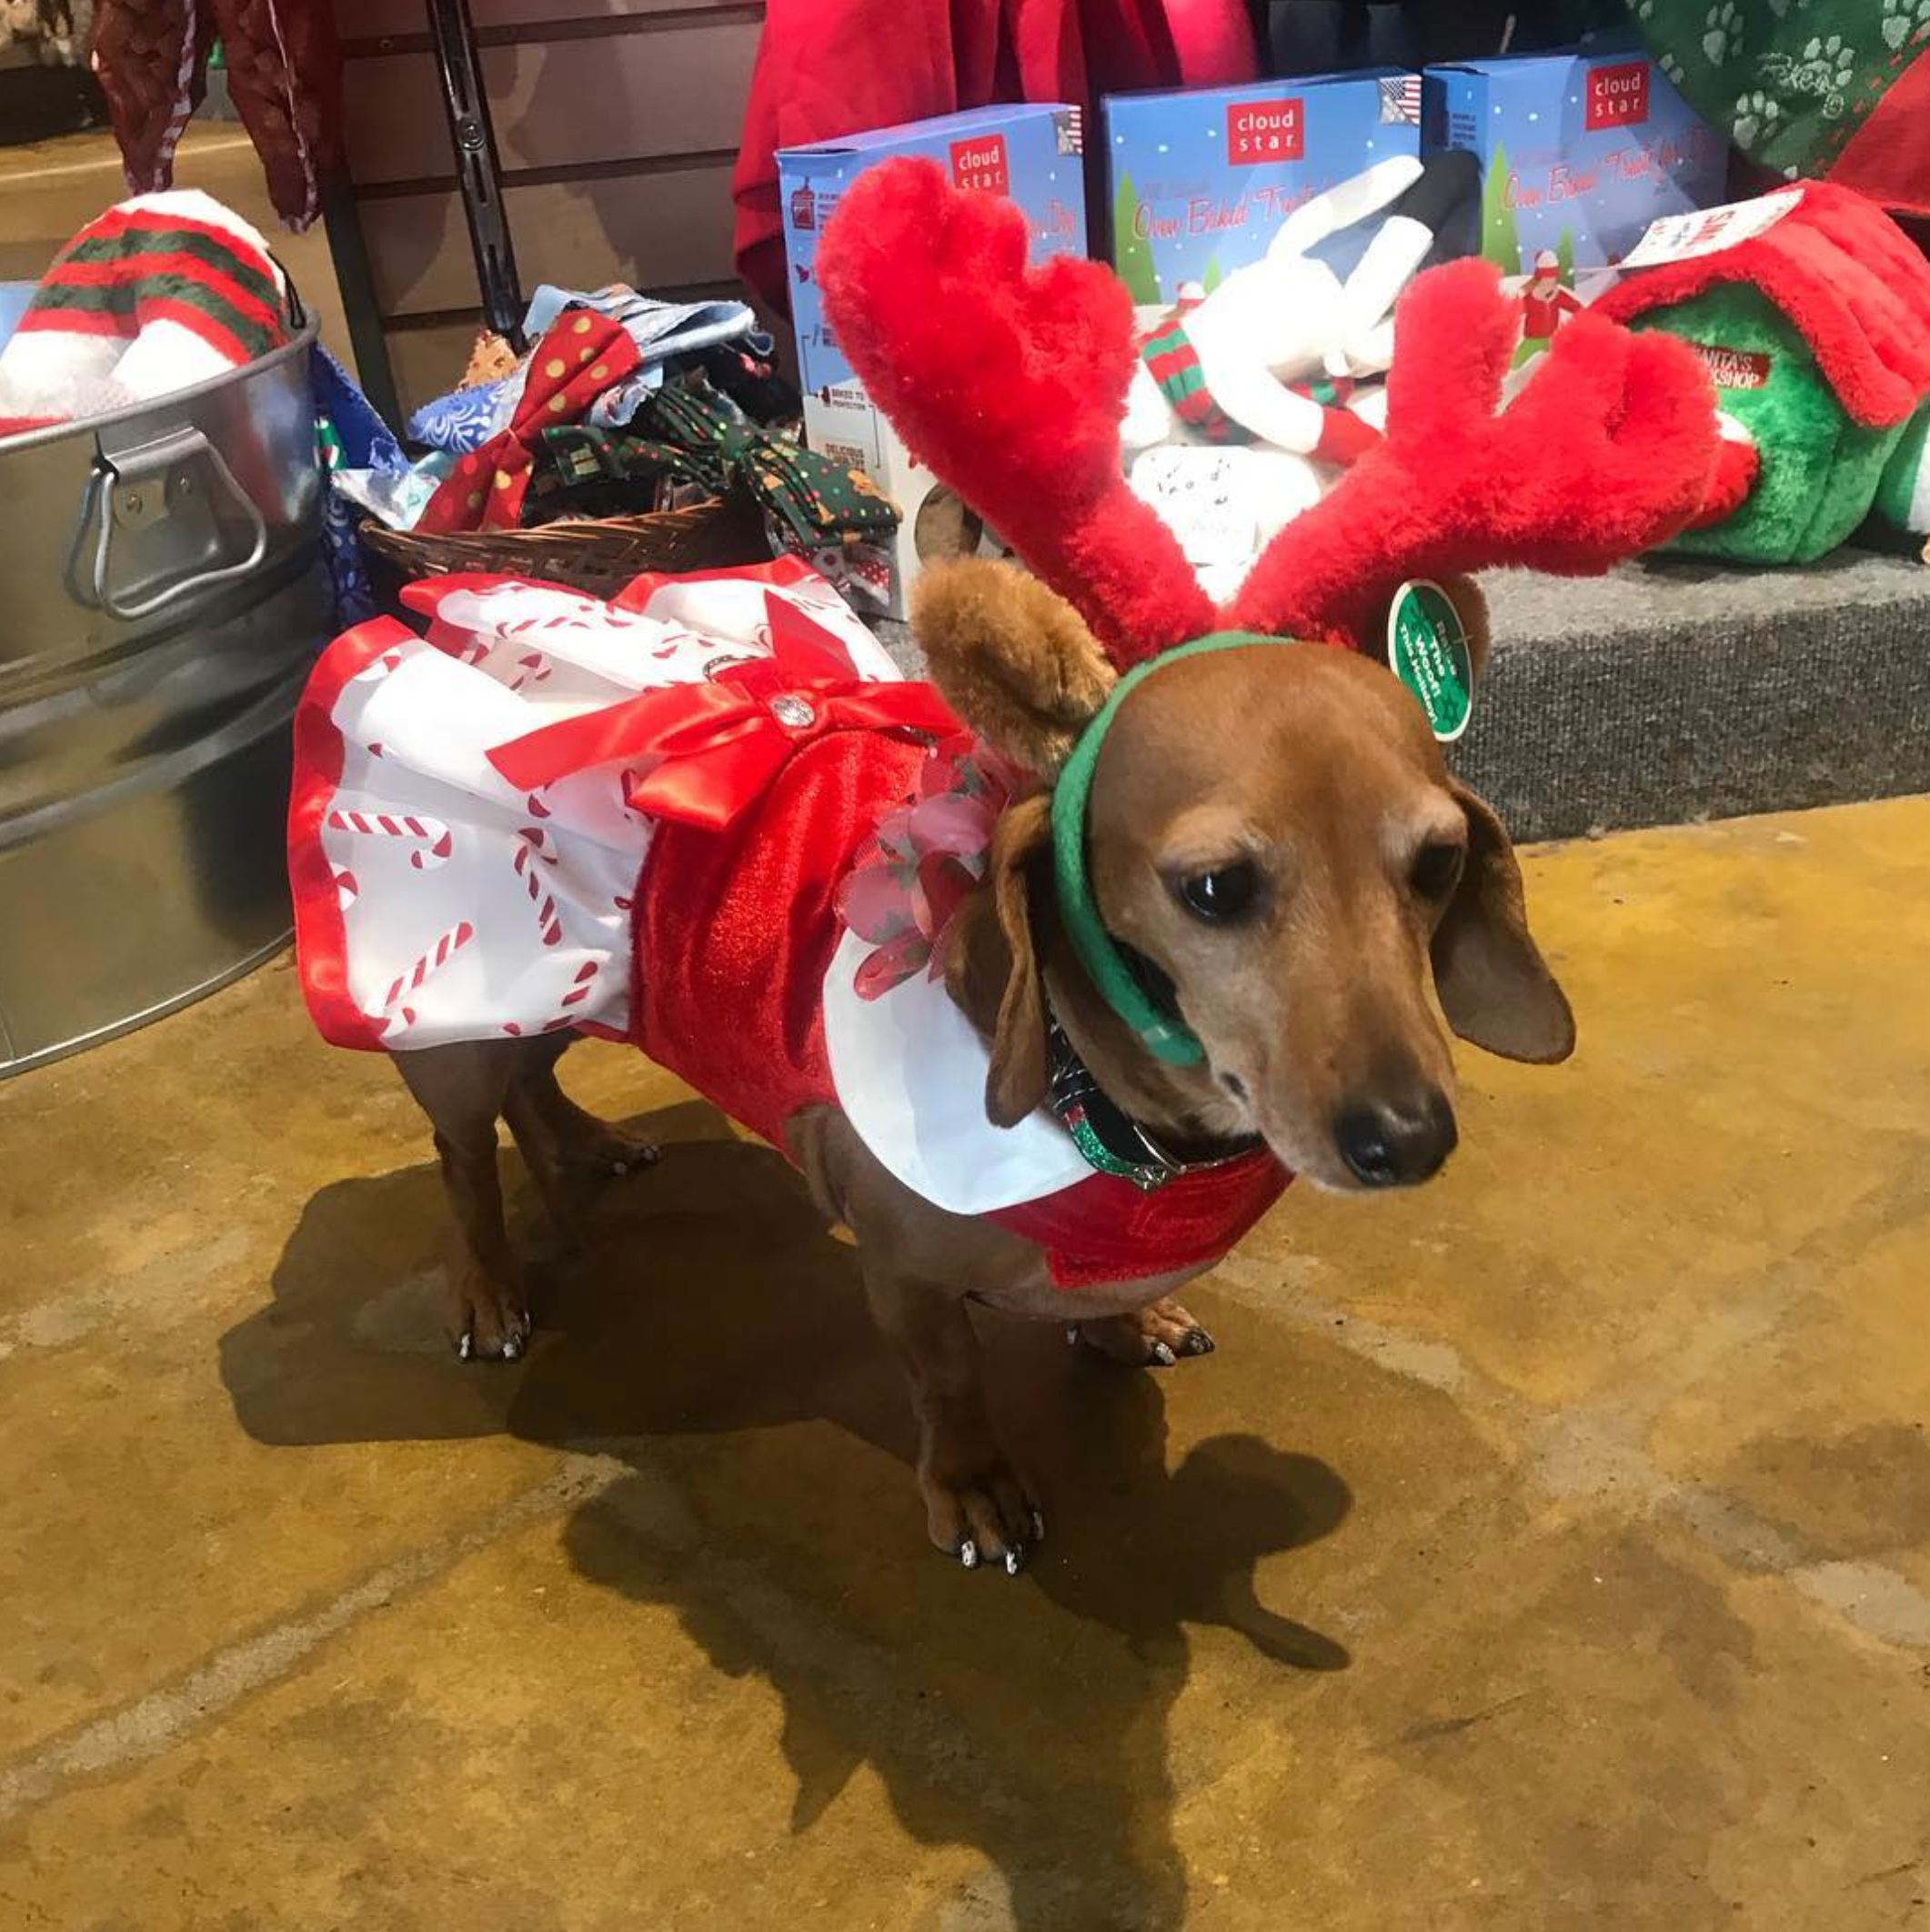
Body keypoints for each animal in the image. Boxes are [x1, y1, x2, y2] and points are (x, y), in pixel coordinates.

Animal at [387, 559, 1568, 1568]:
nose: (1408, 1139)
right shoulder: (902, 1272)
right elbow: (948, 1380)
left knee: (531, 1084)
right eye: (1215, 889)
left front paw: (1125, 1321)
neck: (1119, 1118)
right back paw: (487, 1295)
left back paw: (584, 1145)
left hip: (569, 989)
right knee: (463, 1159)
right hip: (465, 1027)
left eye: (1438, 864)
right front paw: (972, 1490)